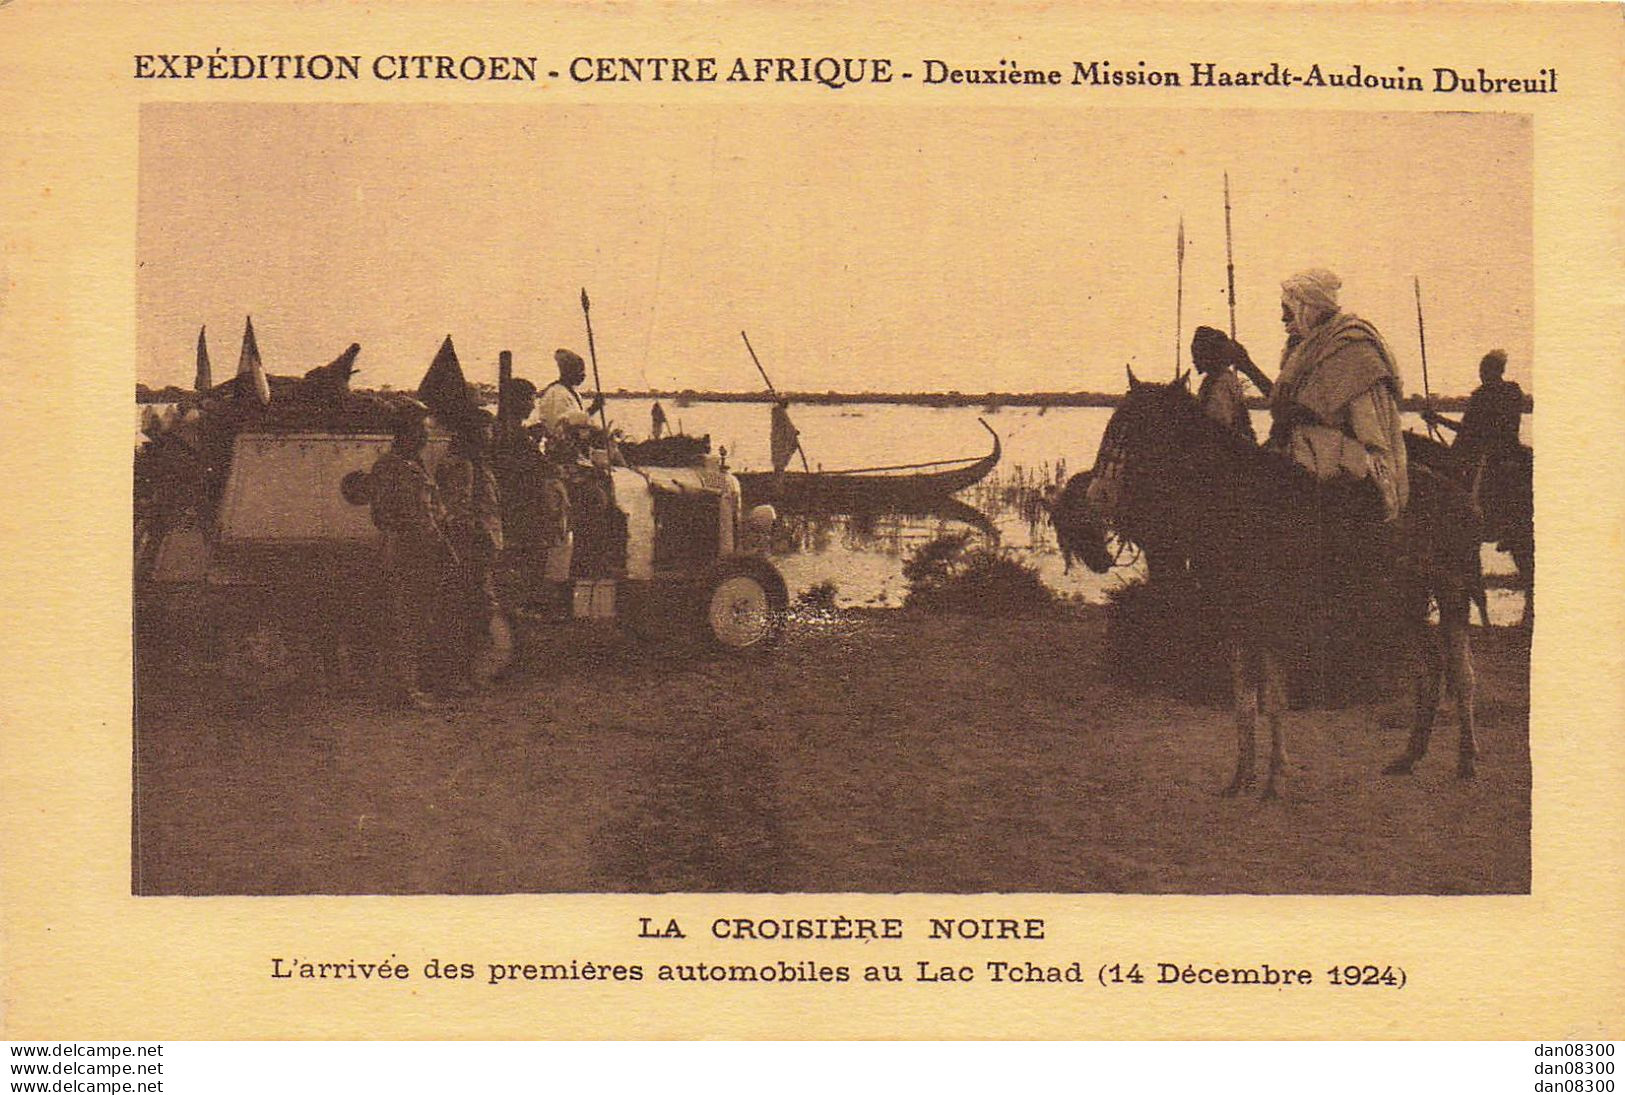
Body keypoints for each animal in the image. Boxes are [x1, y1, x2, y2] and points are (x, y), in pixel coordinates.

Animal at [1079, 373, 1488, 792]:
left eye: (1141, 427)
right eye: (1113, 424)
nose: (1098, 496)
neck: (1237, 503)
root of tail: (1461, 496)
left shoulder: (1271, 617)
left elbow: (1273, 697)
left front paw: (1275, 777)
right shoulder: (1239, 618)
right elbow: (1245, 699)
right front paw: (1242, 776)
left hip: (1451, 592)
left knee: (1462, 672)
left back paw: (1467, 760)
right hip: (1404, 602)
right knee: (1430, 668)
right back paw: (1409, 756)